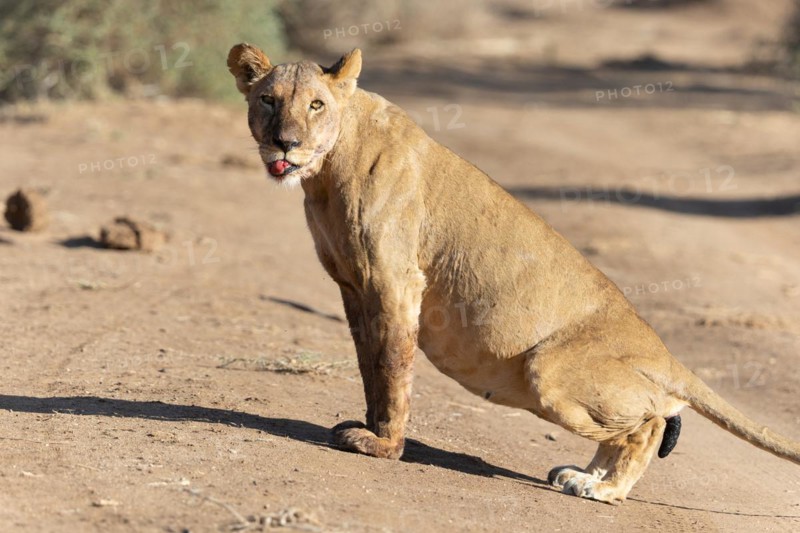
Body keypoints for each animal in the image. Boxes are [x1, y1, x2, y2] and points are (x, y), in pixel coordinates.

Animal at [227, 43, 800, 504]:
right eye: (269, 100)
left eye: (316, 104)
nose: (285, 143)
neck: (323, 175)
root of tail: (665, 353)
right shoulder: (353, 288)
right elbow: (371, 368)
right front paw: (368, 427)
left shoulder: (396, 283)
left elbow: (392, 370)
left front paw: (383, 445)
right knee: (639, 424)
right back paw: (582, 476)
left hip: (548, 371)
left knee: (653, 422)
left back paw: (604, 489)